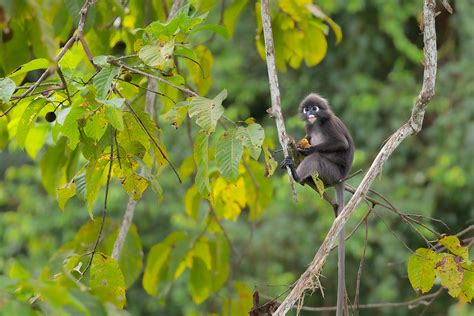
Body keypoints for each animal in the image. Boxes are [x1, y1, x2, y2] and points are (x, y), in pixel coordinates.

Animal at [282, 92, 352, 314]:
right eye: (307, 109)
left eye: (315, 108)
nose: (310, 113)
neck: (317, 124)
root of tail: (341, 179)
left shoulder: (329, 124)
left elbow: (341, 144)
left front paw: (306, 150)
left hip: (331, 172)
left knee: (317, 158)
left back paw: (298, 175)